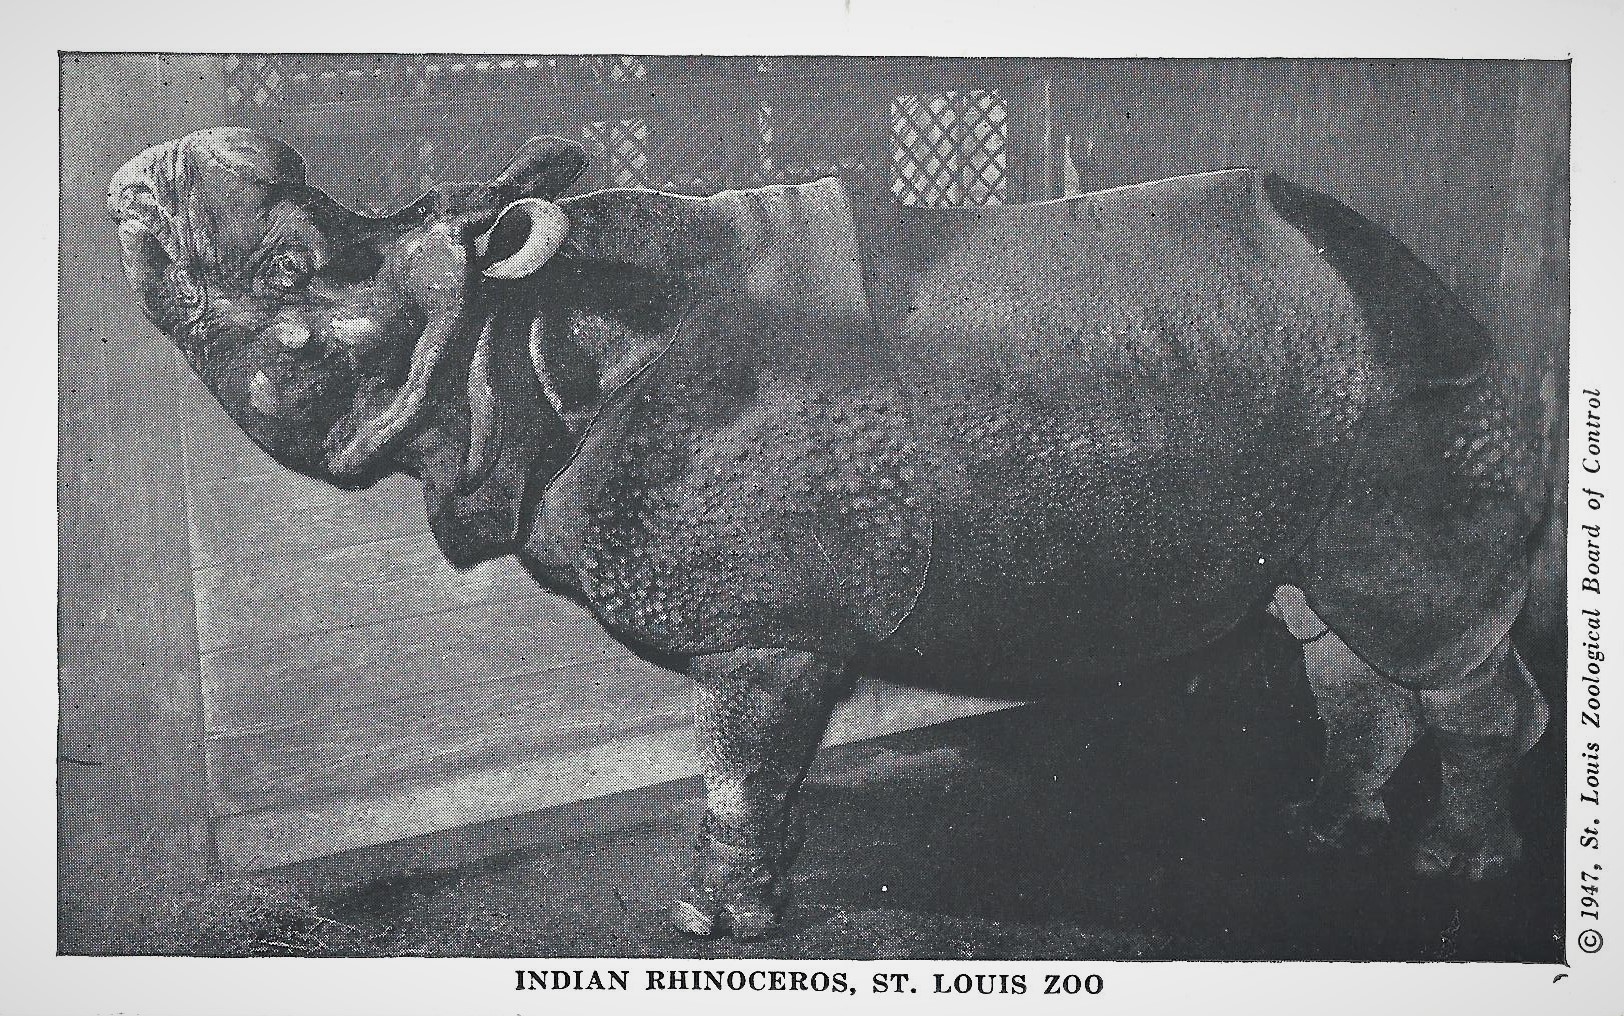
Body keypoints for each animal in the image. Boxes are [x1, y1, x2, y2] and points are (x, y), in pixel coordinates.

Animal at [108, 128, 1551, 937]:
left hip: (1408, 394)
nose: (137, 179)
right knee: (1342, 631)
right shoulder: (784, 621)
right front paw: (773, 883)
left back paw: (1462, 865)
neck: (522, 338)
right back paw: (1319, 831)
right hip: (1325, 390)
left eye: (288, 281)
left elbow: (736, 761)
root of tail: (1437, 281)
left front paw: (710, 922)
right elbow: (766, 767)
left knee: (1425, 631)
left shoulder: (763, 622)